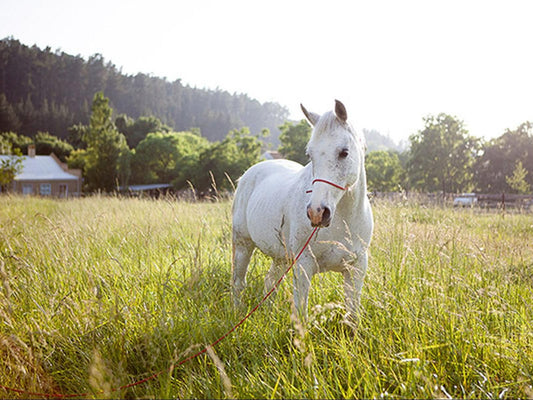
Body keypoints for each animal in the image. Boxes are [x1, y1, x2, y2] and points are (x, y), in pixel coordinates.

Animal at [231, 100, 372, 318]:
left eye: (344, 152)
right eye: (310, 154)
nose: (317, 213)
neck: (343, 220)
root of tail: (249, 173)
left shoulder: (356, 269)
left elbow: (352, 316)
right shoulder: (304, 266)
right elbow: (301, 314)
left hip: (280, 257)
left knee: (269, 282)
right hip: (242, 245)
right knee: (238, 283)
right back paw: (237, 312)